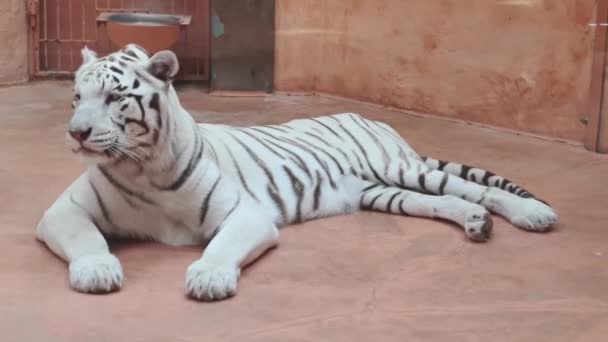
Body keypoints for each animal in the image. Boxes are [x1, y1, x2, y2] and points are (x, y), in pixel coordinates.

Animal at [35, 44, 560, 300]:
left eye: (114, 97)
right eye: (77, 97)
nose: (76, 133)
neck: (141, 166)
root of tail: (370, 118)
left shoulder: (245, 215)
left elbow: (221, 246)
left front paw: (209, 278)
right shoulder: (64, 211)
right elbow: (87, 238)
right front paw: (98, 270)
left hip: (400, 168)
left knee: (475, 188)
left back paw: (532, 215)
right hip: (382, 192)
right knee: (448, 200)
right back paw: (475, 223)